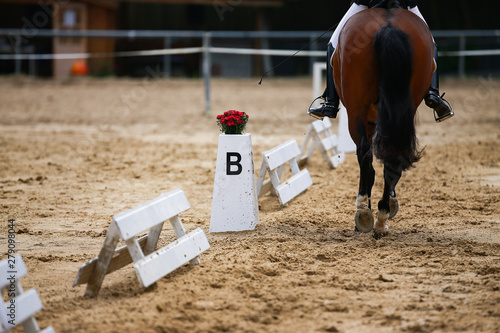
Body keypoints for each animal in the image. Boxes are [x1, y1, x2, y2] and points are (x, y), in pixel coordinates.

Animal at [332, 6, 434, 237]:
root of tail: (388, 26)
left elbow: (368, 168)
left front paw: (365, 213)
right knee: (392, 160)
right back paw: (381, 218)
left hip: (357, 112)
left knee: (365, 155)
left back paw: (364, 213)